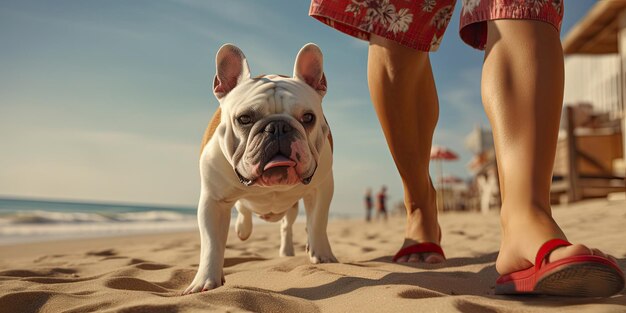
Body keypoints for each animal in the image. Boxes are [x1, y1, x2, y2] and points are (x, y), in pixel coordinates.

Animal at [182, 42, 334, 292]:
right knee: (243, 208)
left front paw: (322, 255)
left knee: (287, 226)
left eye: (308, 118)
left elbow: (318, 223)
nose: (278, 127)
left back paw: (287, 251)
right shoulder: (213, 201)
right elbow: (211, 243)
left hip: (292, 208)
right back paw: (243, 230)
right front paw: (205, 280)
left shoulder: (322, 188)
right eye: (244, 119)